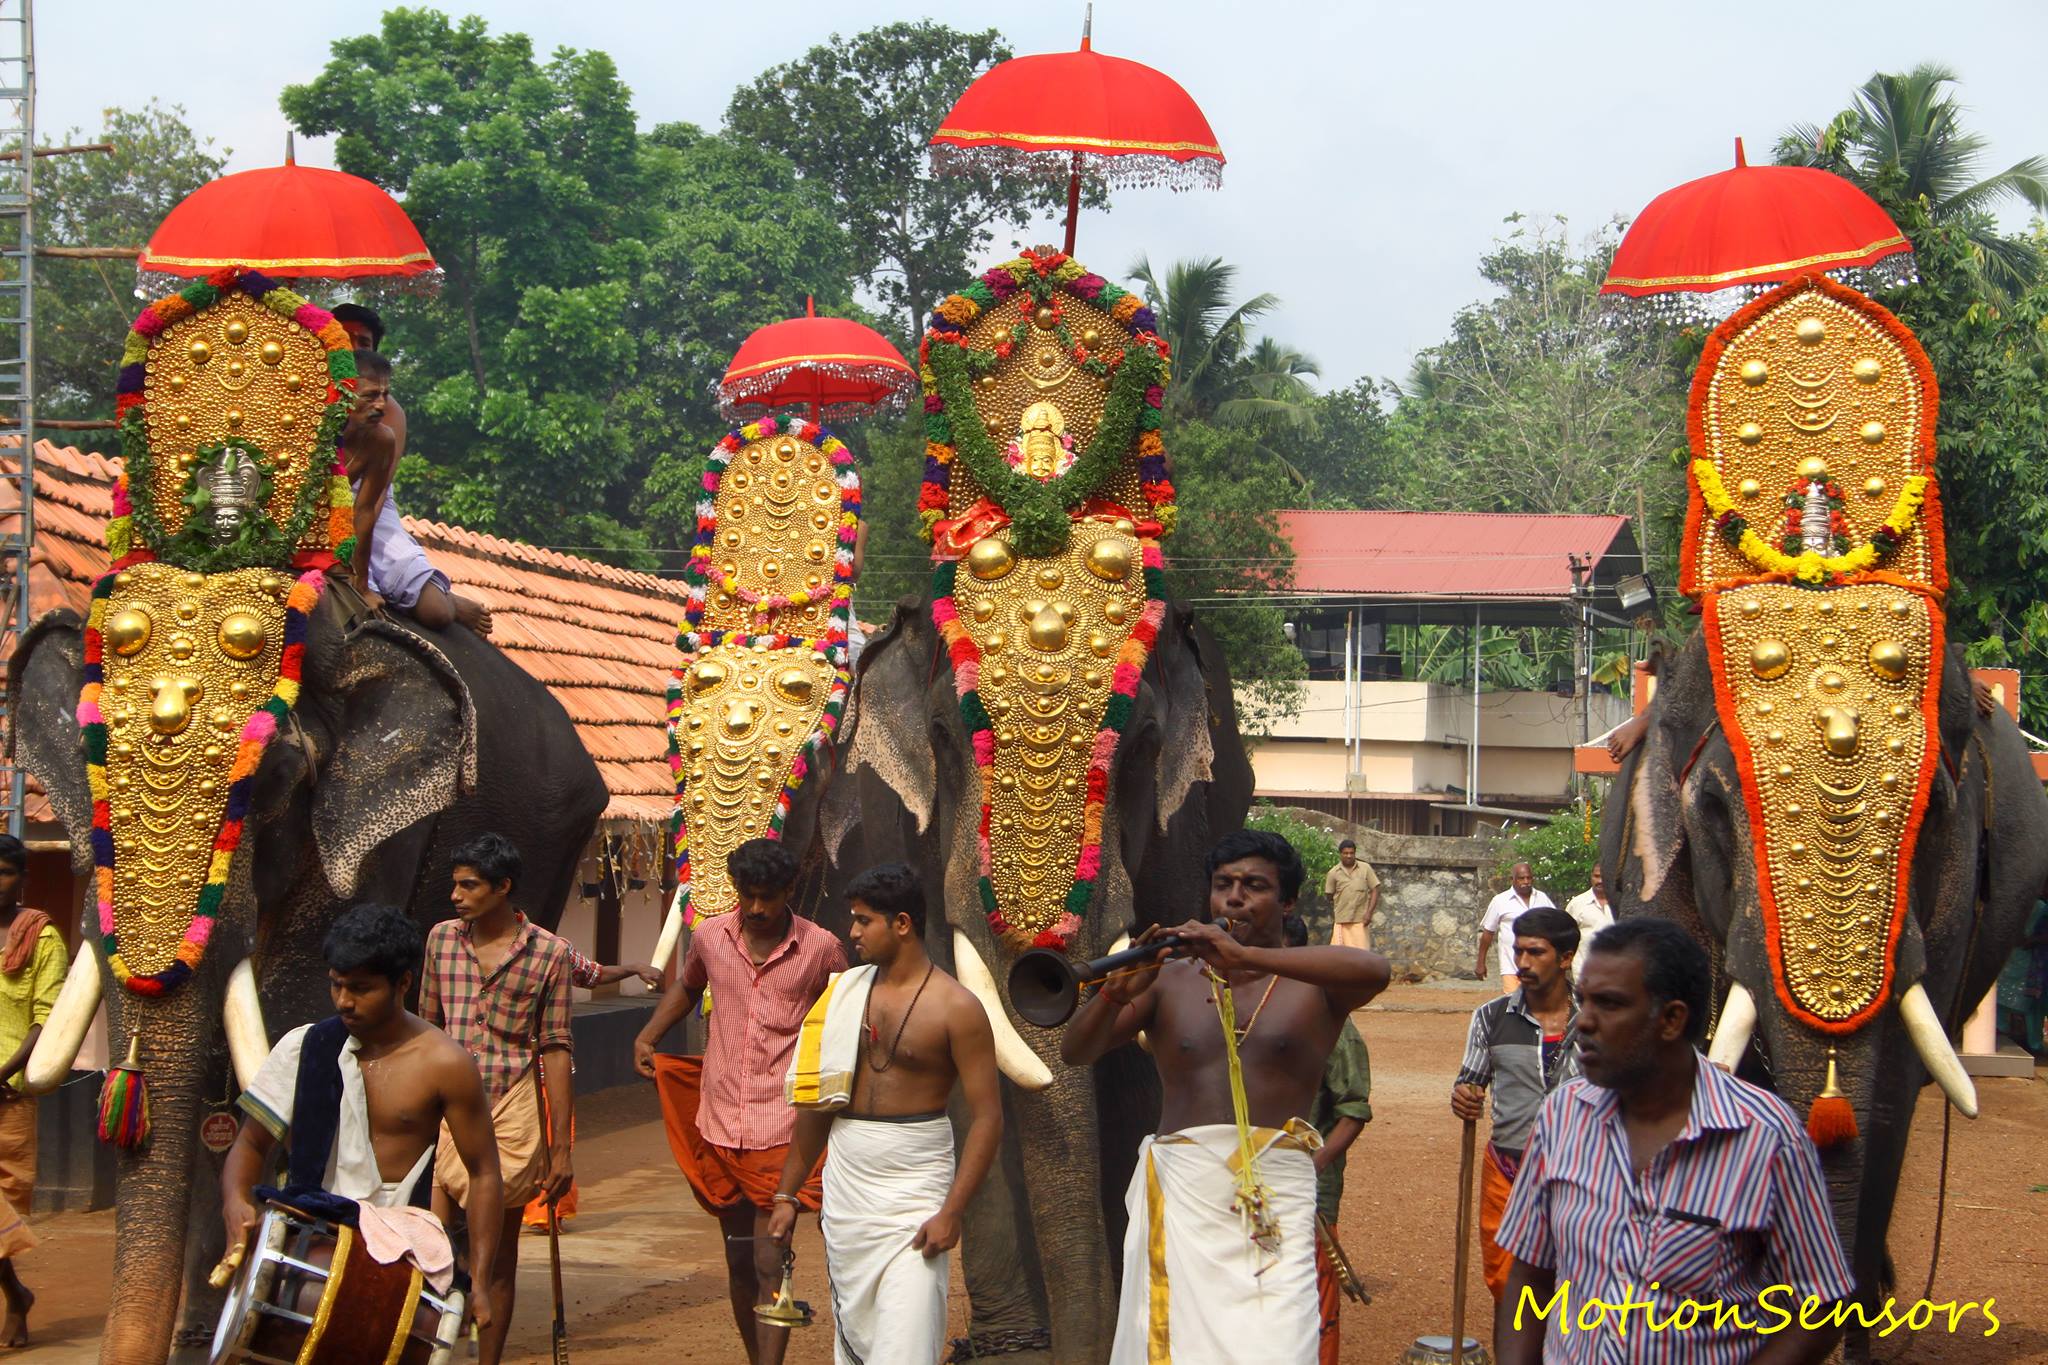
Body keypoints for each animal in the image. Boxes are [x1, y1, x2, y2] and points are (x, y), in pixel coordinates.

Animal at [815, 593, 1245, 1358]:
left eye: (1143, 744)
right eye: (940, 736)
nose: (1047, 980)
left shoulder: (1184, 840)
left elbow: (1142, 1067)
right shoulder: (907, 841)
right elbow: (967, 1067)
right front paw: (1020, 1348)